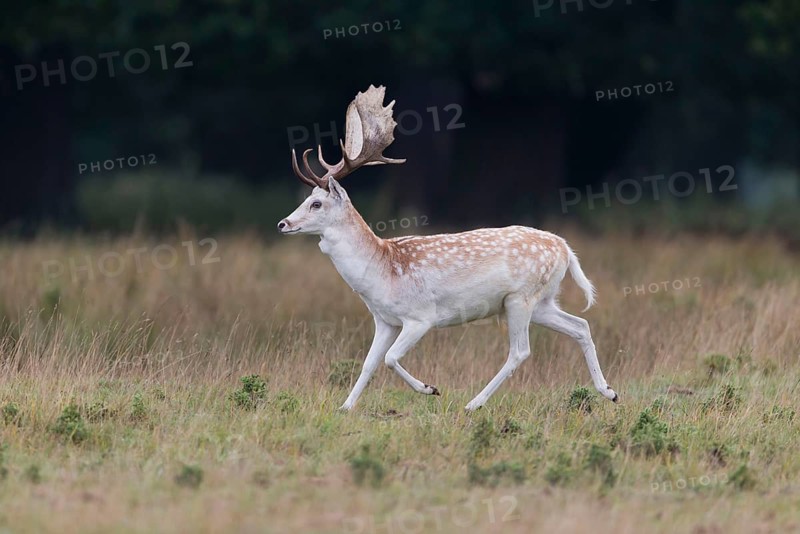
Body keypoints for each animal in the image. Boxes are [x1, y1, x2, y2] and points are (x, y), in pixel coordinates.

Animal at [278, 85, 618, 412]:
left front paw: (430, 388)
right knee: (581, 325)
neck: (381, 271)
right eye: (305, 199)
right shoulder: (384, 320)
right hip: (542, 301)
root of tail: (565, 248)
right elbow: (368, 364)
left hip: (520, 298)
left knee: (520, 351)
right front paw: (345, 407)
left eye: (317, 203)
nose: (283, 223)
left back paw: (473, 404)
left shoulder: (421, 316)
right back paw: (610, 392)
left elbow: (389, 359)